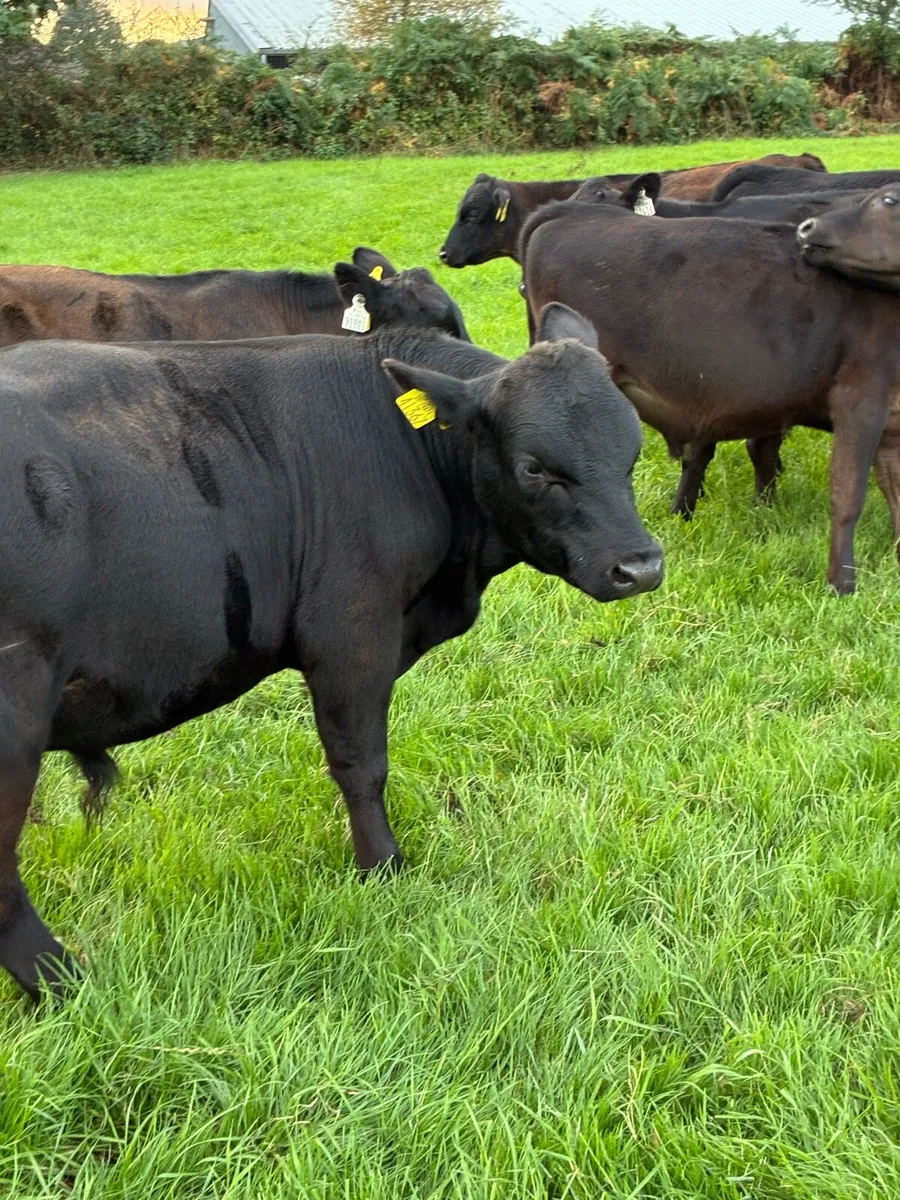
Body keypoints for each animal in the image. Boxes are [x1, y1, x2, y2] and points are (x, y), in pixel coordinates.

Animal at [0, 303, 663, 1000]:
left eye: (632, 448)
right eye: (535, 467)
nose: (639, 566)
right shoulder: (351, 637)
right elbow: (361, 765)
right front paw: (383, 869)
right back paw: (63, 980)